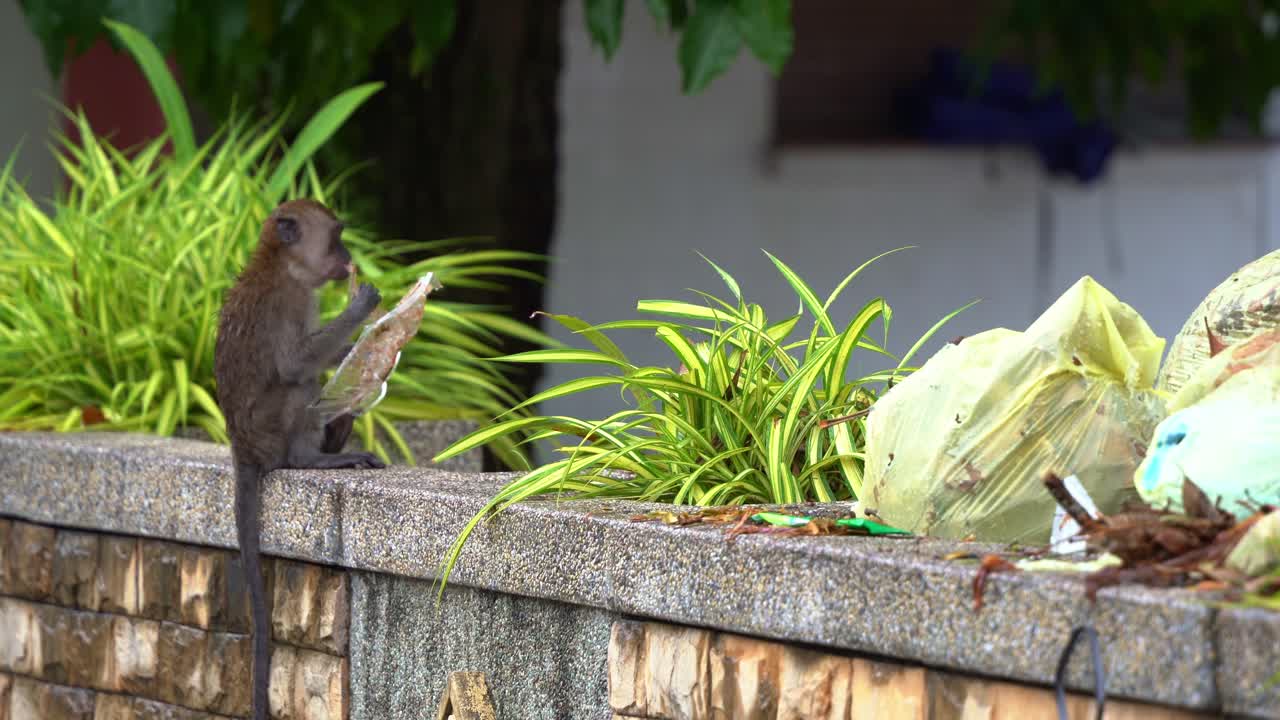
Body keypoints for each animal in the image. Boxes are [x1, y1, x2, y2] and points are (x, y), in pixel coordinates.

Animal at [213, 199, 385, 720]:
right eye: (337, 236)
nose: (348, 256)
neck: (279, 263)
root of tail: (243, 448)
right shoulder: (288, 303)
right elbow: (295, 364)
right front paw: (361, 308)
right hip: (269, 431)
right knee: (297, 385)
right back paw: (312, 456)